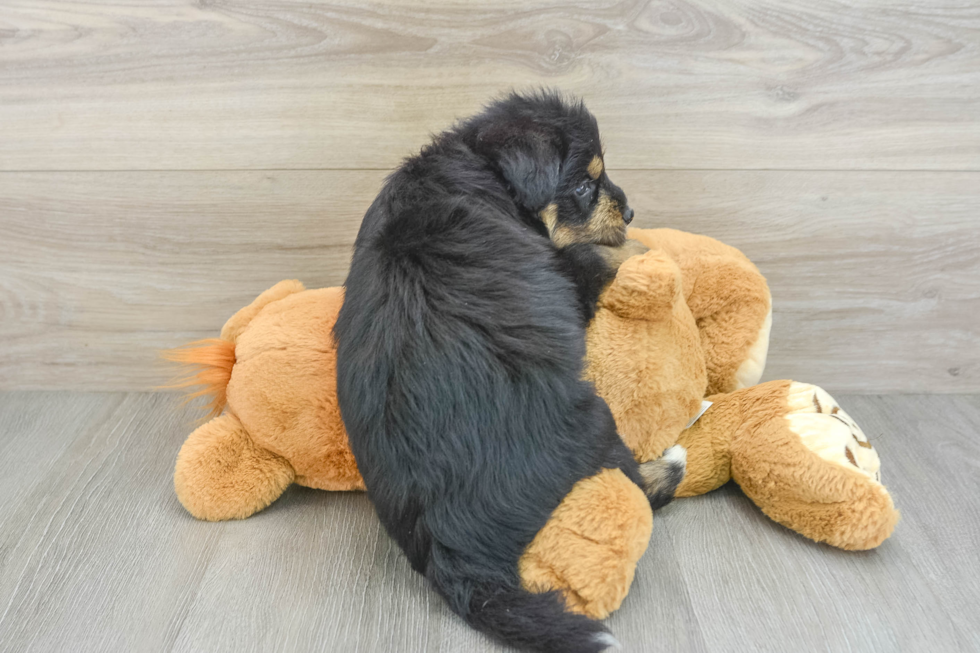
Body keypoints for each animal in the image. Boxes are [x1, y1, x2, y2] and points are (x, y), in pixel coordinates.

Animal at [334, 91, 684, 652]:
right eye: (584, 185)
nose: (630, 211)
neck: (481, 168)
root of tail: (454, 558)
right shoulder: (568, 277)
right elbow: (596, 253)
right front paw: (642, 246)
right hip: (592, 420)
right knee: (636, 481)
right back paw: (668, 464)